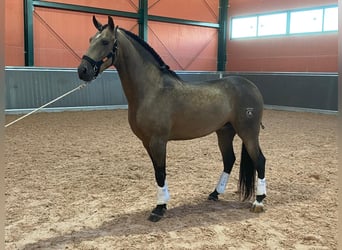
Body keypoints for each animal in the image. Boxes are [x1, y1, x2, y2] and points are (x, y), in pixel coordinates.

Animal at [77, 16, 268, 222]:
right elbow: (157, 172)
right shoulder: (147, 142)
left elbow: (161, 172)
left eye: (105, 41)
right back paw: (215, 194)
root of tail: (251, 86)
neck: (152, 90)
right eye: (90, 39)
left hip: (248, 133)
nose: (83, 70)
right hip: (224, 132)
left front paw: (159, 208)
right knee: (229, 160)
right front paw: (163, 203)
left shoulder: (158, 141)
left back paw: (258, 201)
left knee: (260, 160)